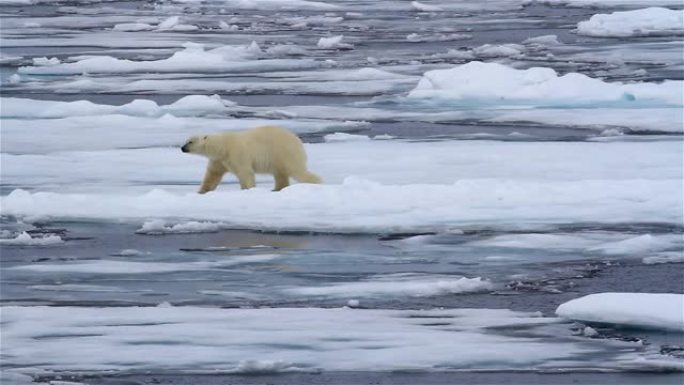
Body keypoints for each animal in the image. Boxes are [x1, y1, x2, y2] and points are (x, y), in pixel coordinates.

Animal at [180, 125, 322, 192]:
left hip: (285, 152)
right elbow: (212, 175)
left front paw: (248, 190)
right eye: (186, 140)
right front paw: (201, 191)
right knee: (280, 174)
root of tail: (297, 139)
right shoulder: (219, 160)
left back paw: (316, 183)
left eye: (190, 142)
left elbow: (245, 172)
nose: (182, 148)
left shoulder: (237, 153)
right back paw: (276, 189)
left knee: (296, 170)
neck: (222, 147)